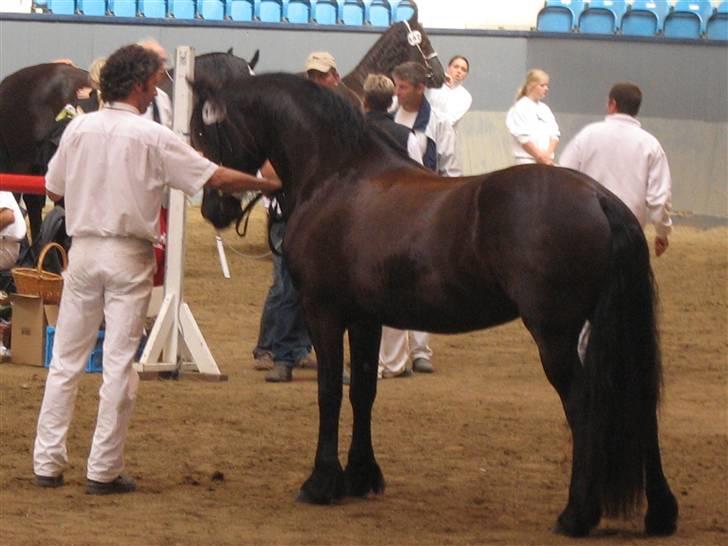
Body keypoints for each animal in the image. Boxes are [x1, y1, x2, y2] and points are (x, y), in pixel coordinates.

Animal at [192, 73, 676, 536]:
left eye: (203, 130)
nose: (213, 208)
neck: (337, 175)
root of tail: (600, 198)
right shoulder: (365, 318)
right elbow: (363, 391)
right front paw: (361, 477)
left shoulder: (323, 312)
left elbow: (329, 392)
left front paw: (321, 482)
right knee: (641, 404)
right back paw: (660, 513)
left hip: (554, 335)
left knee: (583, 407)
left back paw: (577, 515)